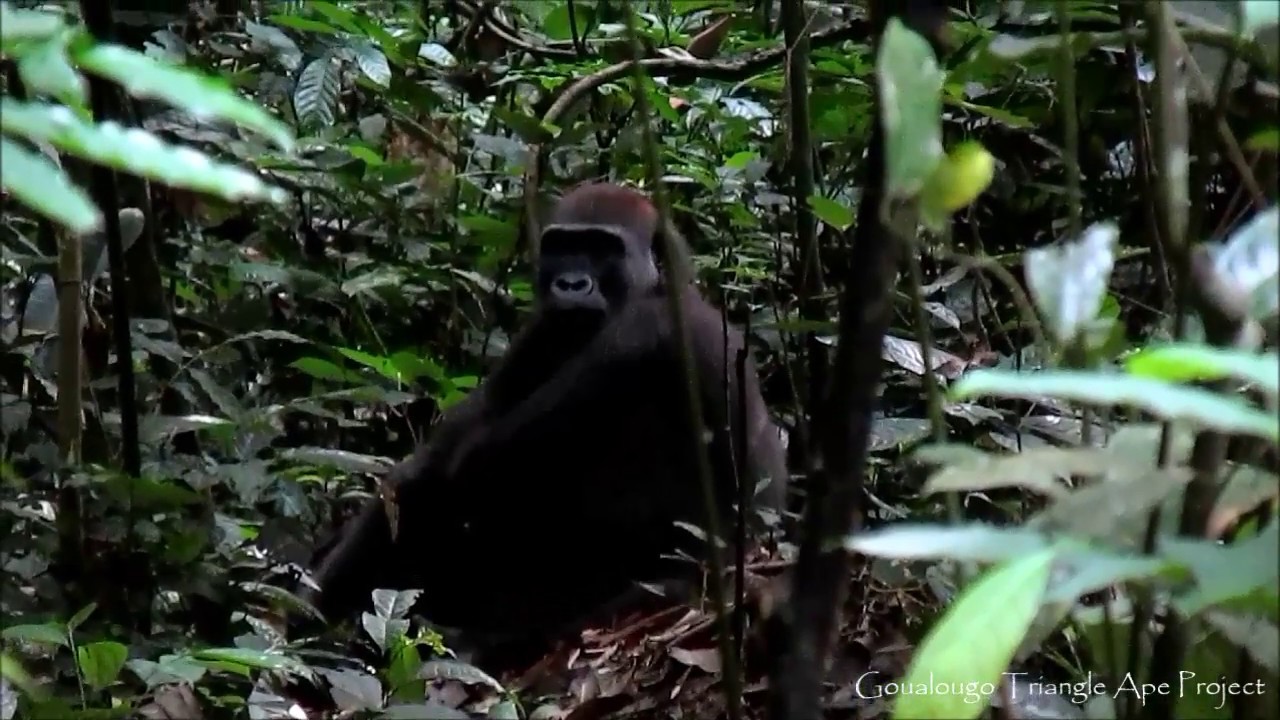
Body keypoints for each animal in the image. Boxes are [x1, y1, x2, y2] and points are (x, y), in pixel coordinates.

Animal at [304, 182, 788, 657]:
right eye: (562, 247)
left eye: (602, 249)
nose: (570, 284)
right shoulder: (538, 332)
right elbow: (441, 460)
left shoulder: (659, 330)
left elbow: (477, 464)